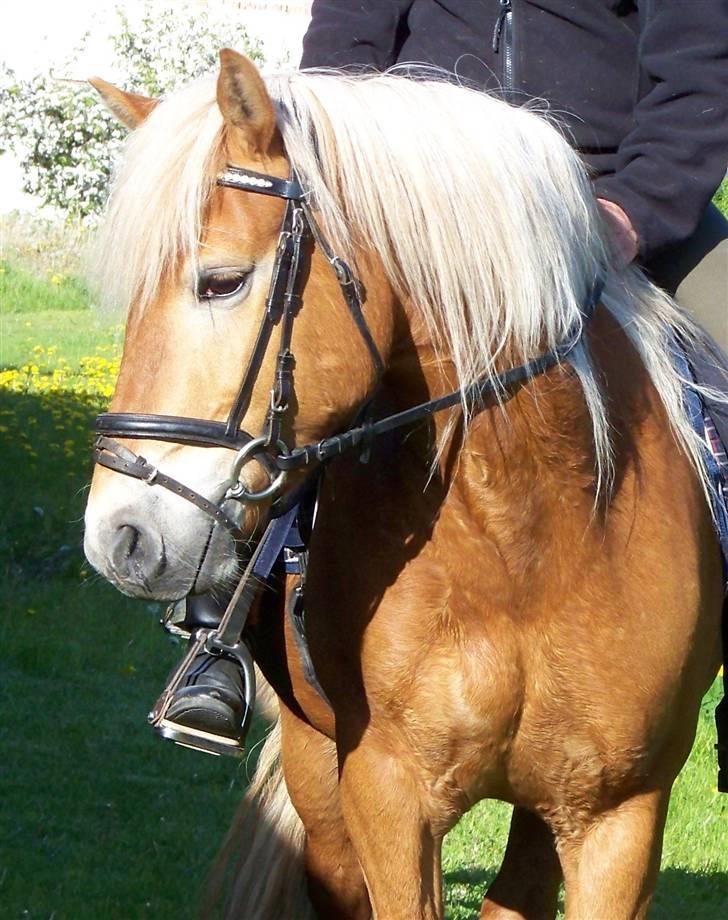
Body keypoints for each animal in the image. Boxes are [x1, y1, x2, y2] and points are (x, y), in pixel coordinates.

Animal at [84, 52, 724, 920]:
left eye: (221, 282)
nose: (118, 536)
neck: (525, 541)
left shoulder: (619, 819)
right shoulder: (387, 794)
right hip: (318, 776)